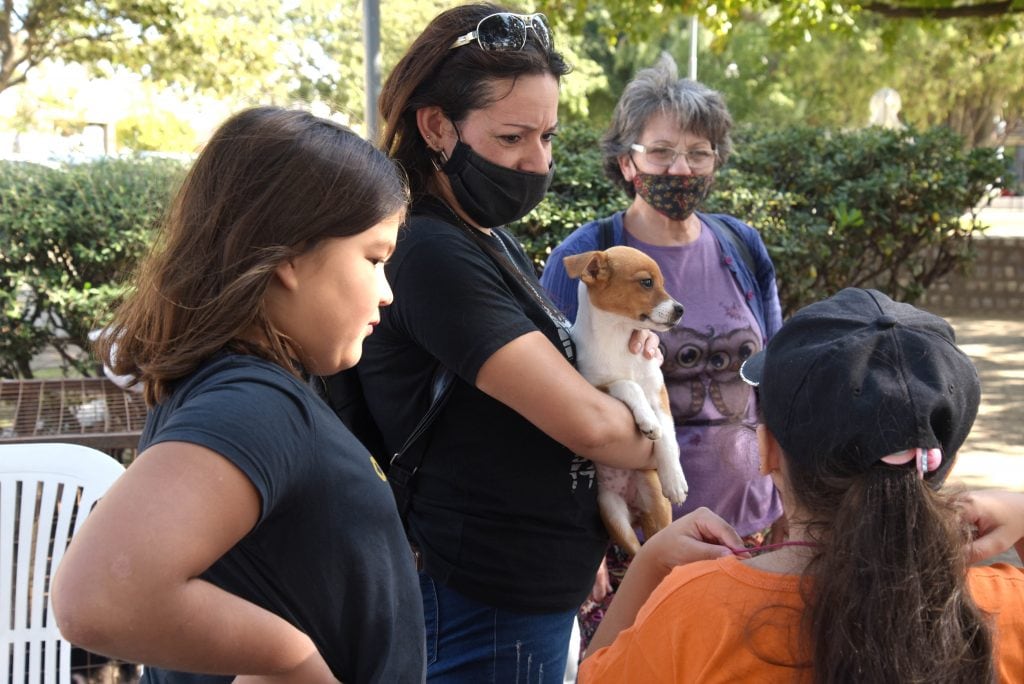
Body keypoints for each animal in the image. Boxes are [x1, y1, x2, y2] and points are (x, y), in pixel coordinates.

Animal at [569, 245, 688, 557]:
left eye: (663, 282)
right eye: (647, 282)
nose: (680, 309)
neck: (619, 337)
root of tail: (635, 510)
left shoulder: (659, 394)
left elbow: (667, 436)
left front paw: (675, 478)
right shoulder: (594, 386)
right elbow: (627, 384)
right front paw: (646, 421)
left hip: (655, 504)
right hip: (612, 514)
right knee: (635, 554)